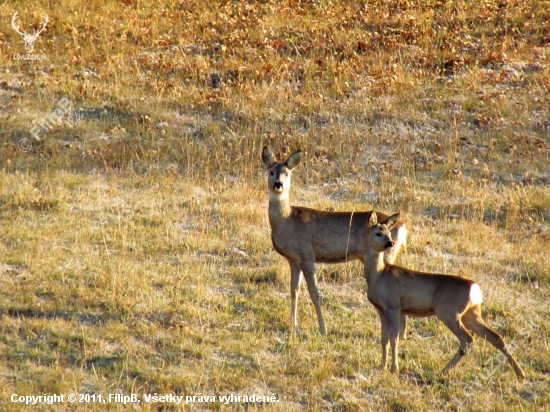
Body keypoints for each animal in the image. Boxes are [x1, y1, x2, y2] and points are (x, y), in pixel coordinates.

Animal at [264, 146, 410, 336]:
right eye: (271, 172)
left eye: (287, 173)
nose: (278, 184)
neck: (288, 220)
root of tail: (401, 226)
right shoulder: (293, 259)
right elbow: (294, 289)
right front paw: (292, 323)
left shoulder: (307, 255)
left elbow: (314, 292)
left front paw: (322, 328)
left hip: (386, 254)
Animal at [364, 212, 528, 380]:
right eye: (378, 233)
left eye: (388, 233)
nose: (390, 243)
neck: (378, 275)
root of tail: (475, 289)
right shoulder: (380, 309)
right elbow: (384, 339)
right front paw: (382, 366)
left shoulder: (394, 306)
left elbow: (394, 338)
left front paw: (393, 369)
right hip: (470, 314)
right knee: (496, 336)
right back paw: (521, 374)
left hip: (448, 312)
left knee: (468, 339)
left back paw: (444, 370)